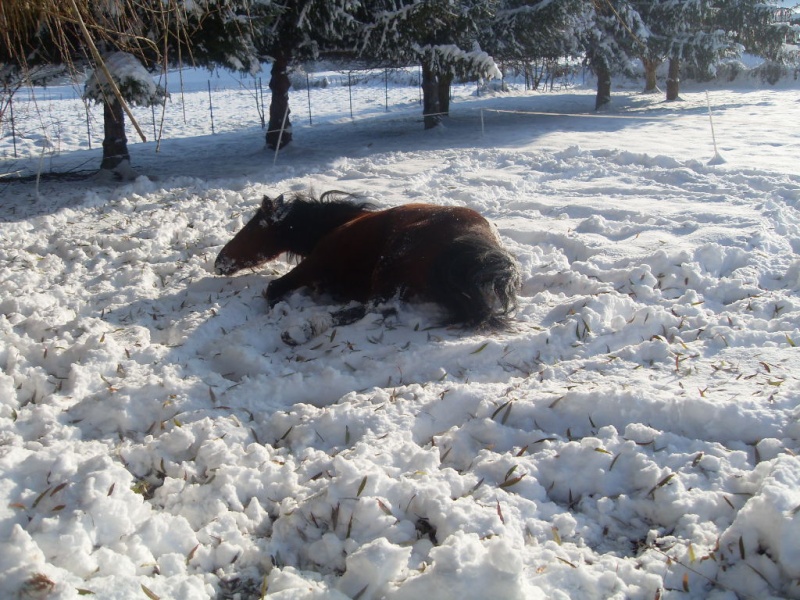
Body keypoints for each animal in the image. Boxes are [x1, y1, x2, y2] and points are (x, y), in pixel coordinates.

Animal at [216, 190, 520, 326]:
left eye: (252, 228)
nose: (220, 261)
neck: (334, 225)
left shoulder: (313, 265)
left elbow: (273, 289)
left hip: (390, 263)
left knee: (375, 306)